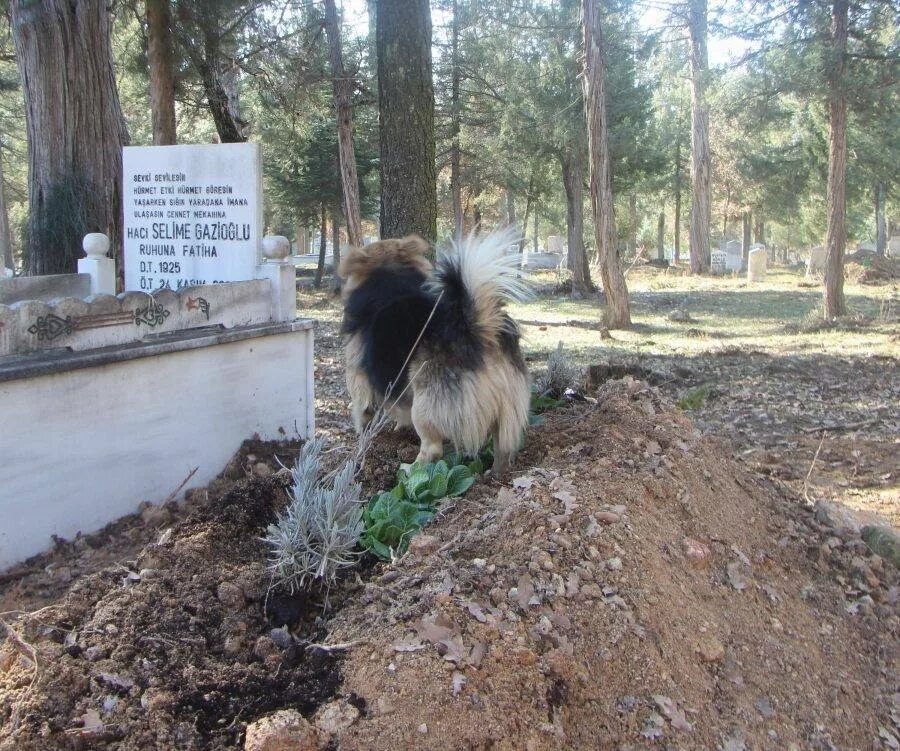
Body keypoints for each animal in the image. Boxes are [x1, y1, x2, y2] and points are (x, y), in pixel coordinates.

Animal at [342, 231, 532, 476]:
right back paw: (496, 472)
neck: (390, 275)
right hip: (507, 406)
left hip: (425, 405)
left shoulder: (359, 383)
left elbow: (363, 413)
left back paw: (410, 468)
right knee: (503, 445)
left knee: (432, 449)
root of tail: (477, 328)